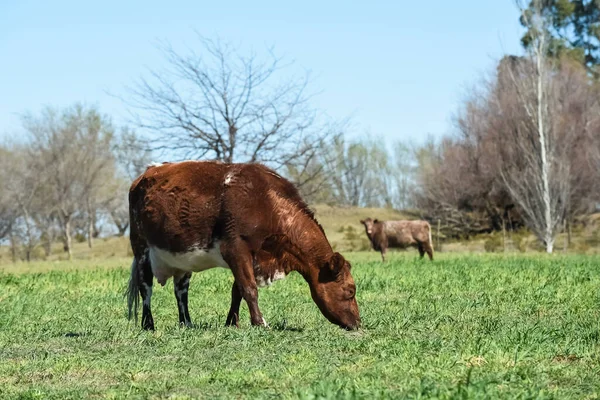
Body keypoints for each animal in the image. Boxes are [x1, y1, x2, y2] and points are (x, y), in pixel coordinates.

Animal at [125, 160, 360, 332]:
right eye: (350, 290)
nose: (358, 323)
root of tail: (147, 173)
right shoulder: (235, 248)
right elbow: (249, 288)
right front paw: (260, 323)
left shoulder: (252, 256)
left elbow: (237, 289)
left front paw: (232, 323)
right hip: (141, 248)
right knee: (146, 288)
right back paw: (148, 325)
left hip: (181, 259)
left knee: (181, 291)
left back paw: (187, 323)